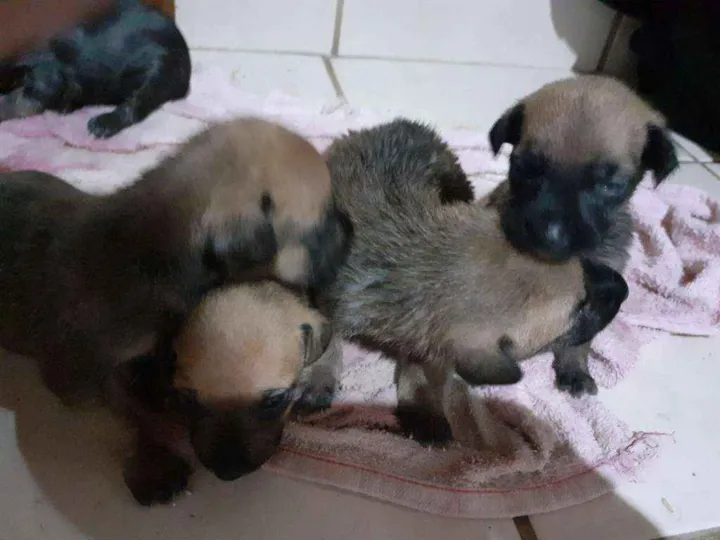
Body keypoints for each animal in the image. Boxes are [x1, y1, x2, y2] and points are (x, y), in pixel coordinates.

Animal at [320, 119, 628, 443]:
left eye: (580, 263)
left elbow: (422, 368)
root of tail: (403, 123)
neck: (406, 260)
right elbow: (326, 337)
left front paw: (423, 408)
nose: (624, 286)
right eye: (579, 308)